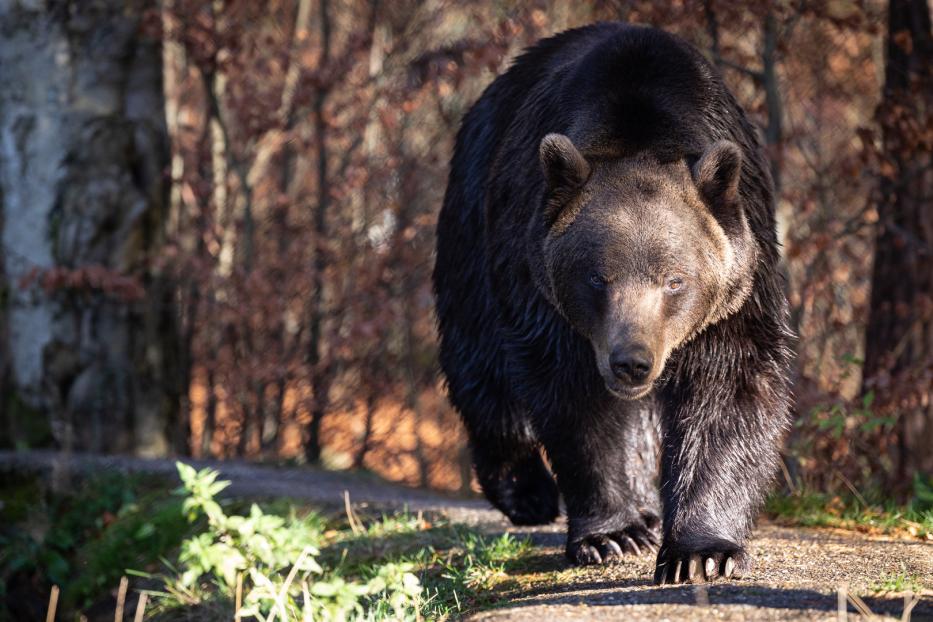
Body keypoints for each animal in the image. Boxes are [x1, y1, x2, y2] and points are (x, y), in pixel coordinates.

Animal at [434, 23, 792, 584]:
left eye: (675, 280)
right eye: (597, 277)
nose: (632, 361)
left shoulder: (738, 292)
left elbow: (729, 389)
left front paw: (702, 551)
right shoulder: (545, 297)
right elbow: (574, 404)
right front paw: (612, 534)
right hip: (472, 228)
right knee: (480, 361)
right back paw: (528, 492)